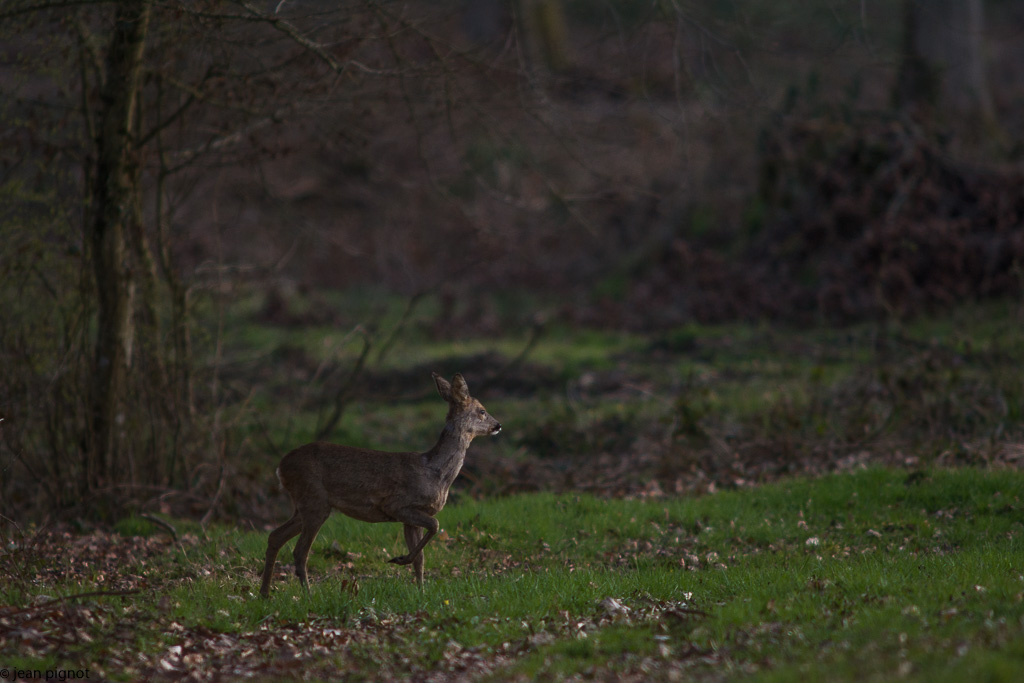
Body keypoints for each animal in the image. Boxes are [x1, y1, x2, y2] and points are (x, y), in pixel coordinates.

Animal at [258, 370, 501, 593]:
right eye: (482, 410)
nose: (498, 425)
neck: (435, 473)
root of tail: (281, 467)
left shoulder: (410, 518)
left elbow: (421, 557)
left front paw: (421, 590)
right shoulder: (397, 505)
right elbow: (435, 526)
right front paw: (400, 560)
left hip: (305, 504)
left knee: (275, 536)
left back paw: (265, 594)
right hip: (314, 499)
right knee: (299, 551)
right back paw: (307, 595)